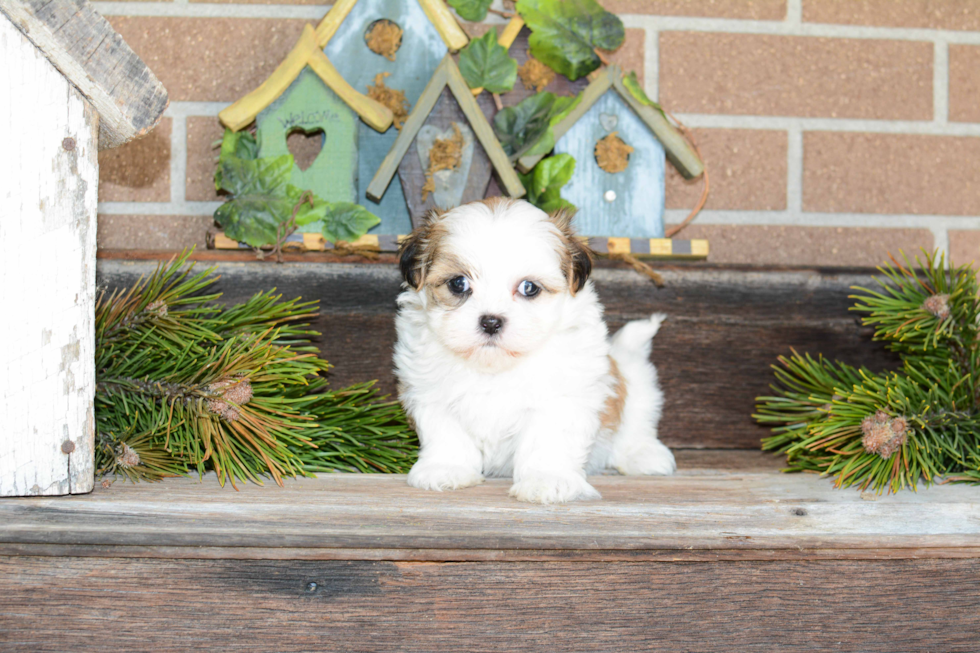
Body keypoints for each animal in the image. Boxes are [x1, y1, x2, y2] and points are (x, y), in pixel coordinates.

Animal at [390, 199, 672, 504]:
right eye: (458, 283)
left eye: (529, 287)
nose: (491, 322)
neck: (495, 367)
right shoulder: (429, 391)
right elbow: (446, 432)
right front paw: (446, 468)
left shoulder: (562, 396)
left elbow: (547, 440)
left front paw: (547, 480)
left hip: (638, 384)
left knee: (637, 421)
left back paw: (644, 455)